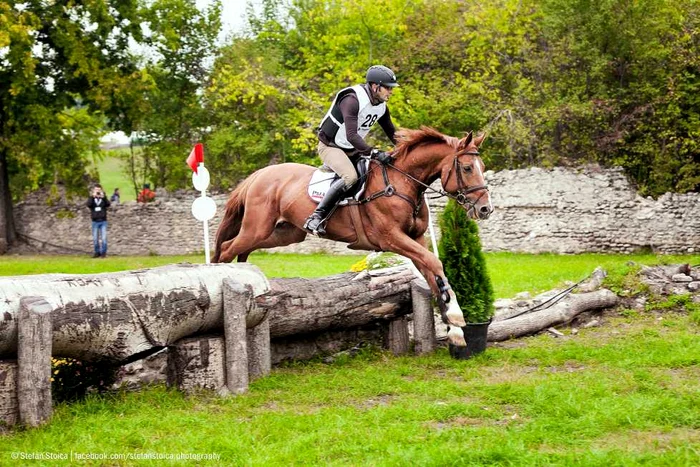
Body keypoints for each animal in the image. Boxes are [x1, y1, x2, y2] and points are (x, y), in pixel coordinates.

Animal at [213, 127, 492, 348]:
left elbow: (432, 274)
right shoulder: (392, 238)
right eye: (467, 168)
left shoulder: (417, 238)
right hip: (257, 227)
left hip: (284, 233)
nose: (485, 209)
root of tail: (258, 175)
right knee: (227, 248)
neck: (403, 182)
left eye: (483, 168)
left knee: (242, 250)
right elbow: (434, 264)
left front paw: (454, 330)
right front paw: (455, 316)